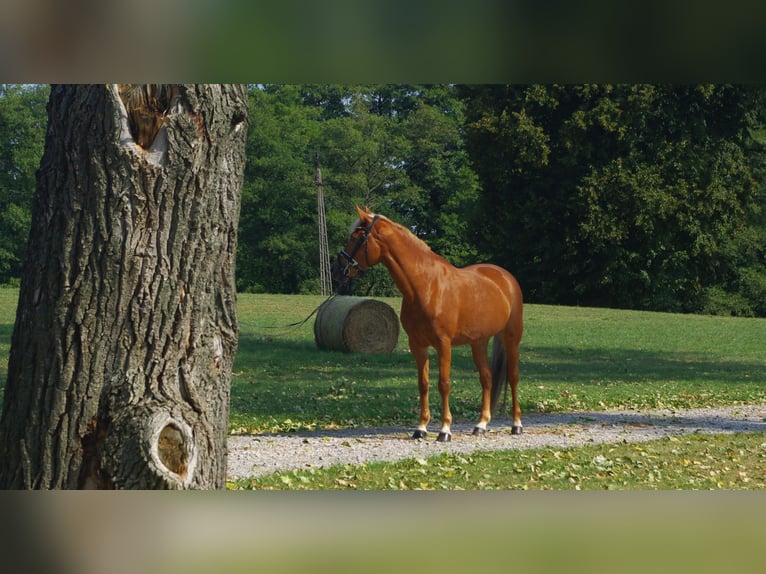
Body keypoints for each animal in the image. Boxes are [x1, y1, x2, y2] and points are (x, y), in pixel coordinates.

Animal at [332, 208, 524, 446]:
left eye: (355, 238)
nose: (336, 270)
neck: (425, 286)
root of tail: (505, 277)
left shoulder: (444, 344)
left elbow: (444, 384)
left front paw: (445, 430)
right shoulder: (418, 344)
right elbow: (423, 384)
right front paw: (421, 428)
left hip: (511, 337)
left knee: (513, 377)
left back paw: (516, 425)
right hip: (478, 342)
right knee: (487, 378)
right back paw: (481, 425)